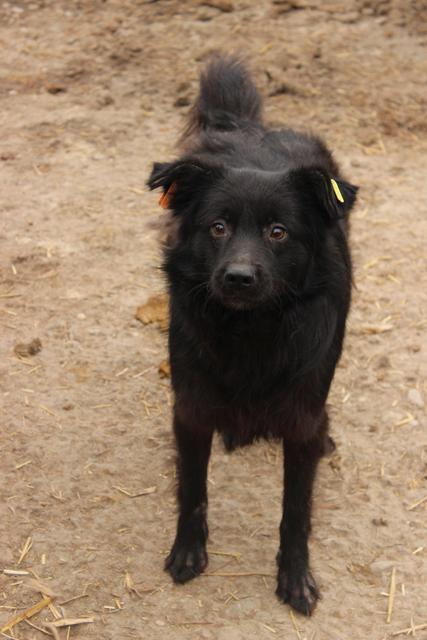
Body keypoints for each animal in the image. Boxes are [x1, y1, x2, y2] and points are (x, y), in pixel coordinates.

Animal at [148, 55, 358, 616]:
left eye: (278, 232)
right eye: (217, 227)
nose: (238, 277)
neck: (252, 329)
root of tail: (246, 127)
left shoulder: (301, 419)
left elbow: (296, 511)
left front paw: (295, 578)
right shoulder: (191, 408)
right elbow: (192, 491)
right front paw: (188, 551)